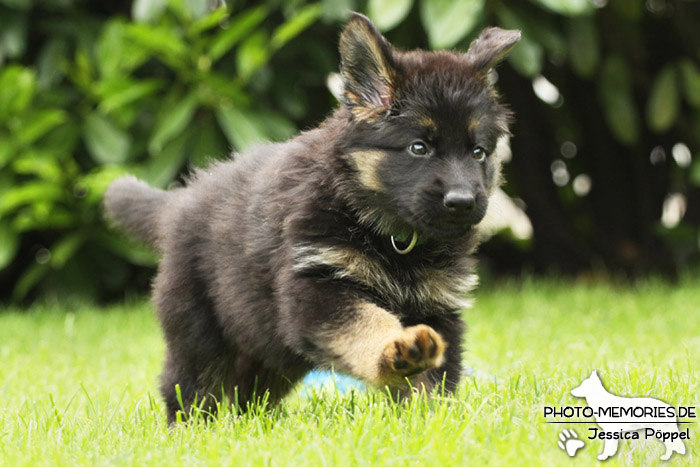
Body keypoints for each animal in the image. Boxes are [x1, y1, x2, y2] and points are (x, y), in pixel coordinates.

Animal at [104, 14, 520, 424]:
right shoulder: (318, 289)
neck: (392, 235)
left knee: (248, 390)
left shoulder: (438, 306)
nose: (463, 202)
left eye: (479, 152)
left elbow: (431, 382)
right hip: (199, 331)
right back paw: (192, 427)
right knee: (188, 385)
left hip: (266, 346)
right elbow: (367, 323)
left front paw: (428, 418)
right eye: (419, 147)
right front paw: (395, 351)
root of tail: (180, 201)